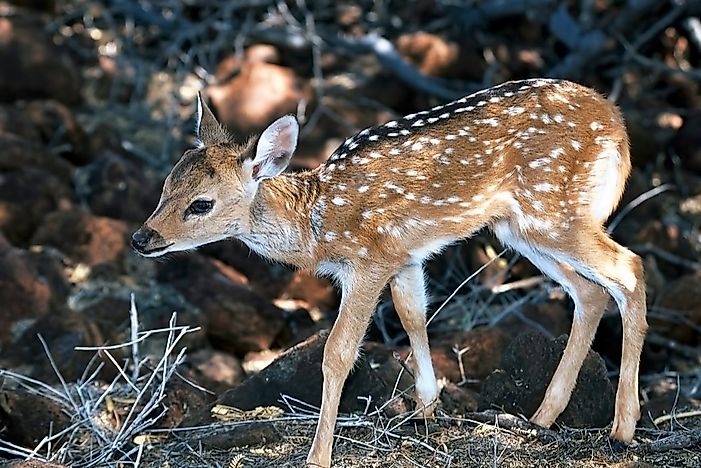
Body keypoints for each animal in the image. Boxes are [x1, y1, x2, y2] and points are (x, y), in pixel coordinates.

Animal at [131, 78, 644, 466]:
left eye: (202, 204)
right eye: (166, 186)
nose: (142, 238)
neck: (316, 225)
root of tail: (617, 122)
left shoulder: (368, 260)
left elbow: (338, 353)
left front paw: (319, 455)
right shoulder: (405, 257)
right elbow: (414, 316)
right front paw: (427, 409)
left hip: (552, 209)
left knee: (629, 269)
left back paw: (622, 428)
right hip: (520, 228)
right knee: (590, 292)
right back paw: (541, 418)